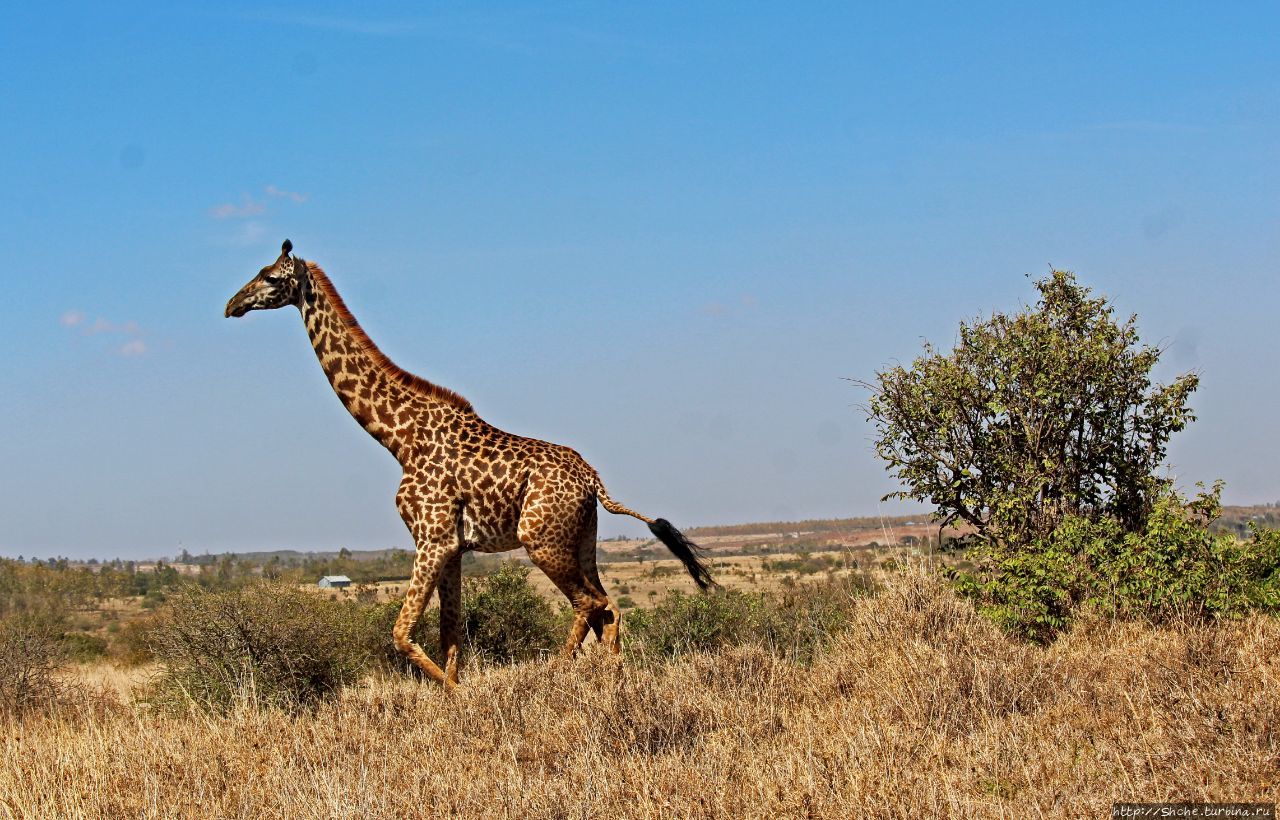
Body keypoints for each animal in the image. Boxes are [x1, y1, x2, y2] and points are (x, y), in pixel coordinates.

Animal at [225, 240, 716, 685]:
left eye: (270, 277)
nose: (233, 304)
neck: (399, 438)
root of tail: (594, 482)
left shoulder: (433, 538)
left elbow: (402, 634)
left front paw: (455, 693)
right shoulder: (452, 547)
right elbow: (450, 633)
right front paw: (453, 693)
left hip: (540, 538)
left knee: (591, 605)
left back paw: (552, 676)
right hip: (583, 539)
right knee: (607, 609)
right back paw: (612, 680)